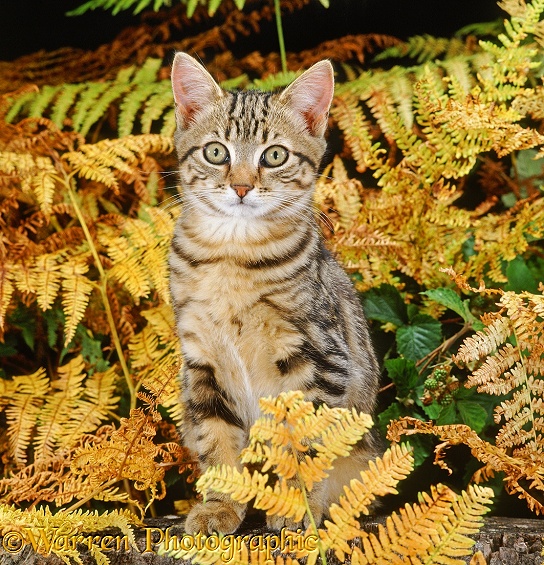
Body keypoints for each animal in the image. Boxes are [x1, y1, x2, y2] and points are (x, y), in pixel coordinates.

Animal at [172, 53, 380, 532]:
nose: (242, 186)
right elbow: (217, 441)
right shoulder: (202, 361)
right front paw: (220, 505)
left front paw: (295, 507)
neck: (232, 256)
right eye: (216, 152)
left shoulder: (319, 357)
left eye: (275, 155)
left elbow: (301, 444)